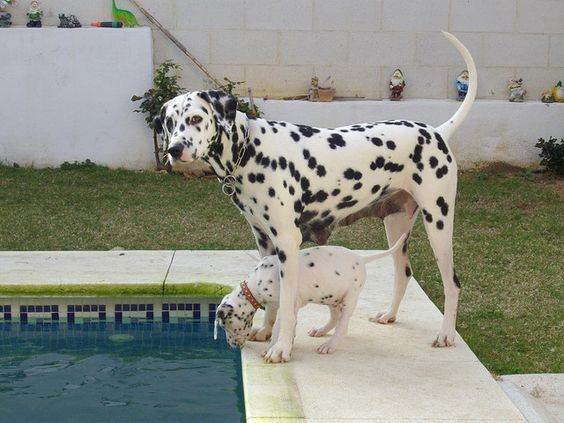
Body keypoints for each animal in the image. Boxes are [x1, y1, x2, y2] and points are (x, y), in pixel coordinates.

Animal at [215, 235, 406, 354]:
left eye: (225, 325)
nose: (231, 346)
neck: (258, 280)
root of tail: (361, 259)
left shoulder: (288, 305)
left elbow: (279, 328)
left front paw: (273, 348)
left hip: (349, 297)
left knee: (342, 325)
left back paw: (330, 345)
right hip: (331, 297)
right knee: (334, 318)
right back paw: (321, 331)